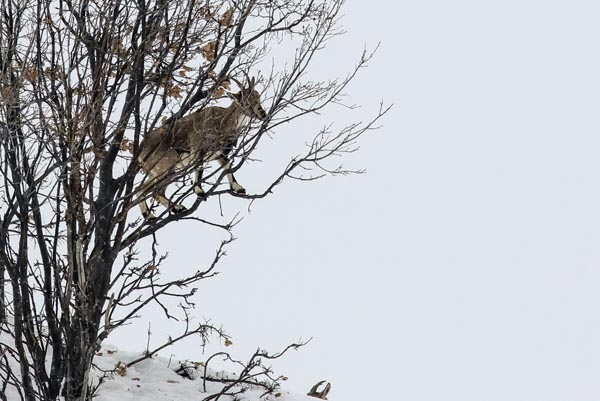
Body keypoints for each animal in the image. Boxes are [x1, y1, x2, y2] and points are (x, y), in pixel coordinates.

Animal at [137, 75, 268, 219]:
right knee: (154, 191)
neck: (223, 121)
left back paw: (150, 215)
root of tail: (141, 149)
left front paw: (238, 188)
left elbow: (227, 165)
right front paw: (199, 191)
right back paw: (177, 207)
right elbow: (199, 167)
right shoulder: (199, 148)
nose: (263, 115)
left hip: (160, 171)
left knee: (141, 190)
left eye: (258, 97)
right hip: (166, 167)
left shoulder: (217, 153)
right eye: (245, 102)